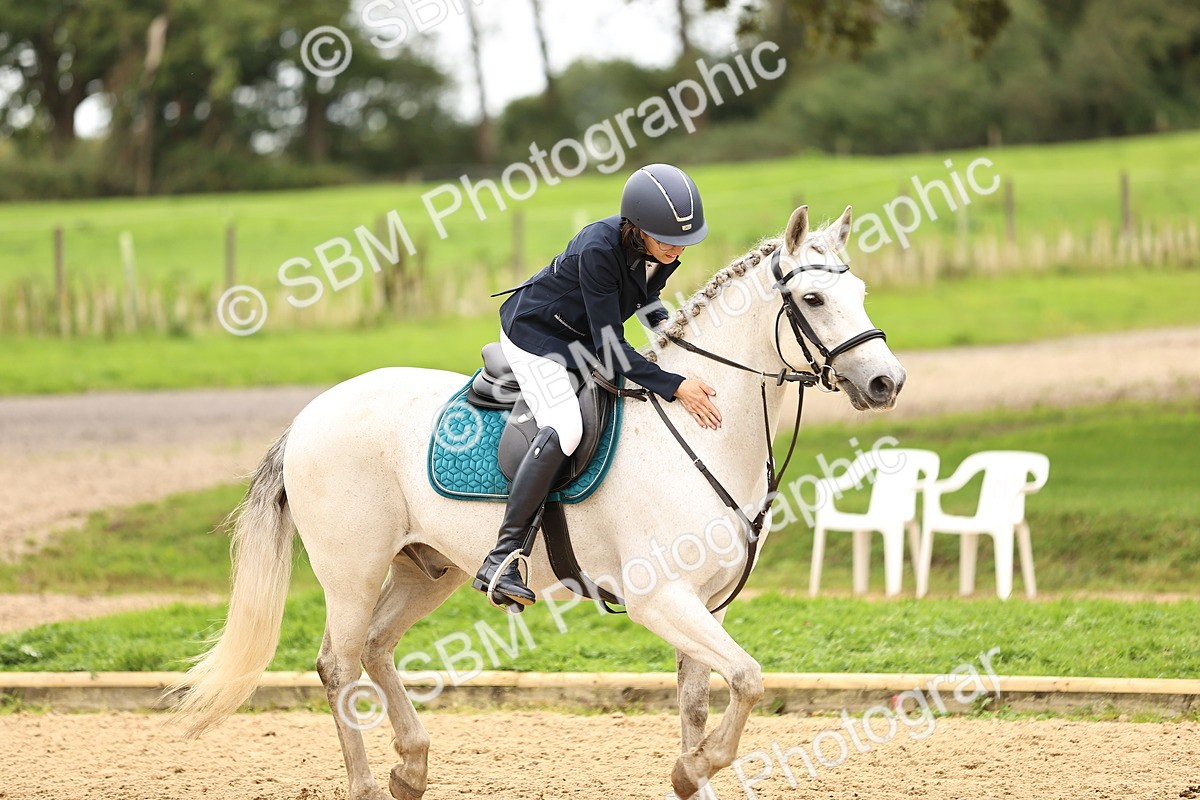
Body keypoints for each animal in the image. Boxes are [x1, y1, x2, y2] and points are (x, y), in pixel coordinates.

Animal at [173, 205, 906, 800]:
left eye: (862, 292)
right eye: (812, 297)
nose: (886, 382)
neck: (704, 434)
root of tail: (310, 414)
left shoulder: (705, 604)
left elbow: (704, 701)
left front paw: (693, 773)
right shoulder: (662, 598)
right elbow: (750, 680)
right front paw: (693, 768)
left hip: (427, 568)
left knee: (379, 649)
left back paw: (411, 766)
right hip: (351, 571)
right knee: (339, 664)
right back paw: (366, 783)